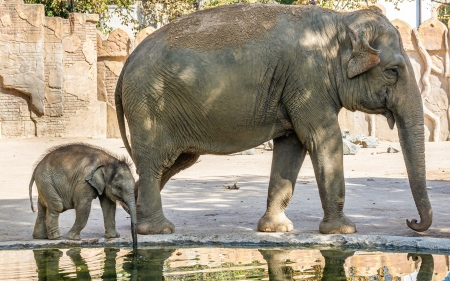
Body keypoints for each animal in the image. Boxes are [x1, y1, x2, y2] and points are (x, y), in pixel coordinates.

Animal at [115, 3, 432, 234]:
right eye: (393, 71)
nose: (411, 222)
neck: (341, 23)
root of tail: (126, 64)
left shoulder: (295, 88)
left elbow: (292, 146)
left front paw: (276, 229)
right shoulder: (308, 79)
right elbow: (323, 138)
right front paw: (343, 230)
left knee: (173, 163)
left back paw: (135, 215)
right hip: (149, 105)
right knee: (156, 161)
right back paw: (157, 230)